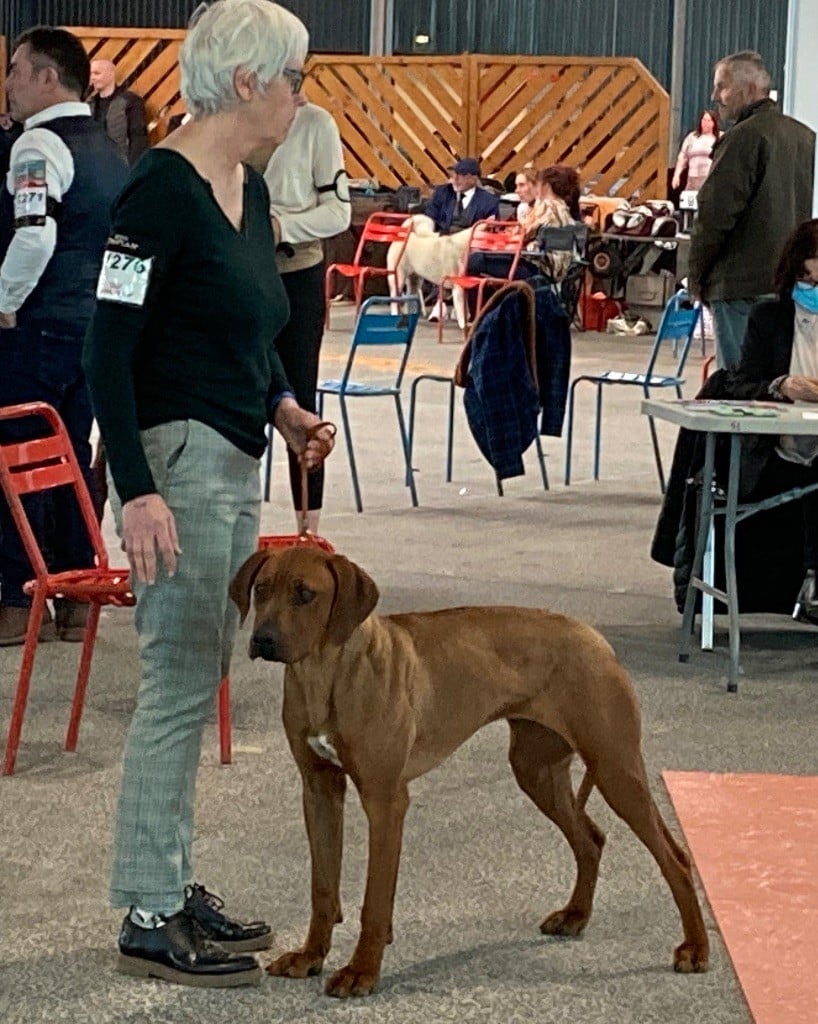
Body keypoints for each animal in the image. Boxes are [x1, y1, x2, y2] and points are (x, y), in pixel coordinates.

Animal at [232, 548, 708, 995]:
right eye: (262, 589)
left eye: (305, 594)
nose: (263, 639)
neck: (325, 673)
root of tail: (596, 637)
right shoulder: (319, 789)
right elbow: (323, 887)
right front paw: (310, 956)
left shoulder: (386, 800)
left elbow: (375, 899)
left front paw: (362, 971)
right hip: (536, 770)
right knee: (590, 839)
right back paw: (575, 915)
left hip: (615, 767)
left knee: (675, 857)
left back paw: (696, 948)